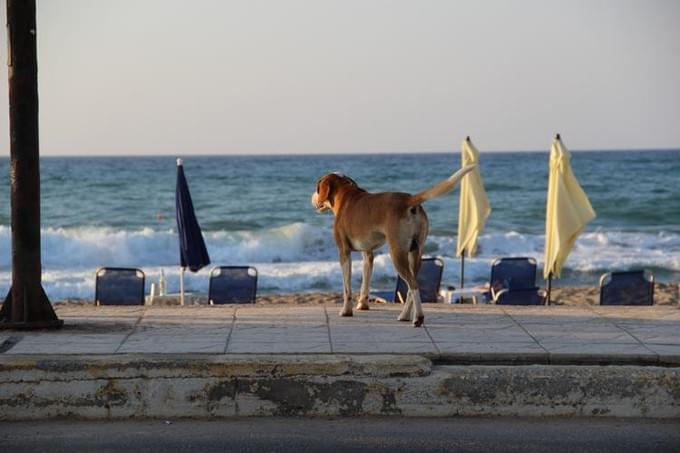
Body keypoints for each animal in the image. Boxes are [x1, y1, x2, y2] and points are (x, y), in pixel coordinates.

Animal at [310, 164, 476, 326]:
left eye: (317, 187)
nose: (312, 199)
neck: (346, 196)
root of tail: (409, 199)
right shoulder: (368, 254)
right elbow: (365, 281)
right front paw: (363, 304)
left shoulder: (344, 252)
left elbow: (346, 288)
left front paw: (346, 311)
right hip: (415, 254)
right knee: (411, 285)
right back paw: (405, 316)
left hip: (397, 253)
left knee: (413, 284)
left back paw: (418, 318)